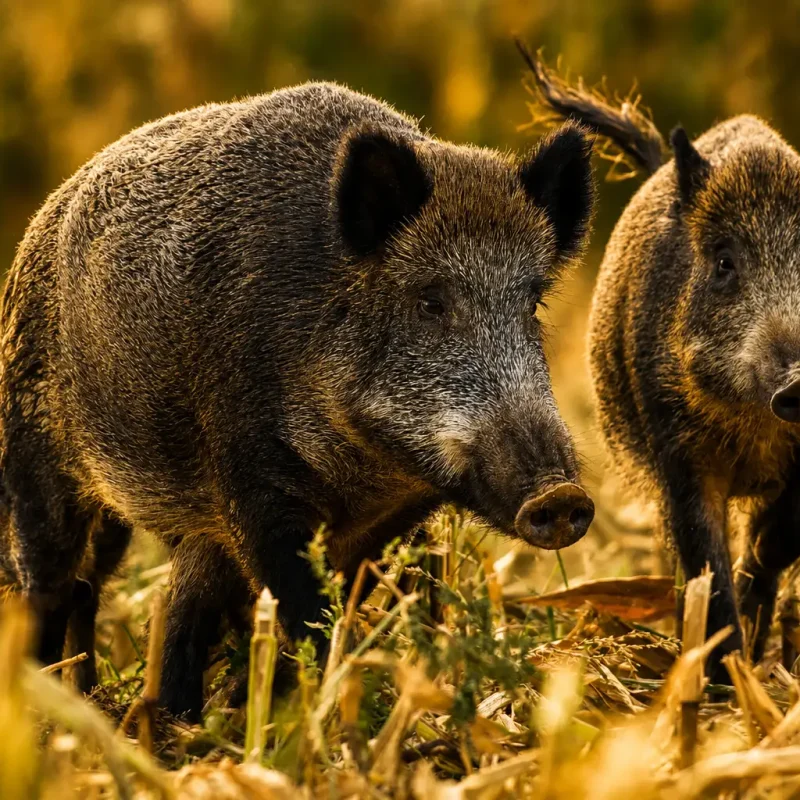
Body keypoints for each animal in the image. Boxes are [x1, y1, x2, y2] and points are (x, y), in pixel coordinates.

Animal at [0, 81, 595, 716]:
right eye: (431, 301)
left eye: (532, 303)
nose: (561, 496)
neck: (369, 470)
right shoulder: (251, 478)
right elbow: (308, 615)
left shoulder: (389, 520)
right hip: (38, 462)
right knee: (51, 586)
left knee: (152, 598)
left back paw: (158, 713)